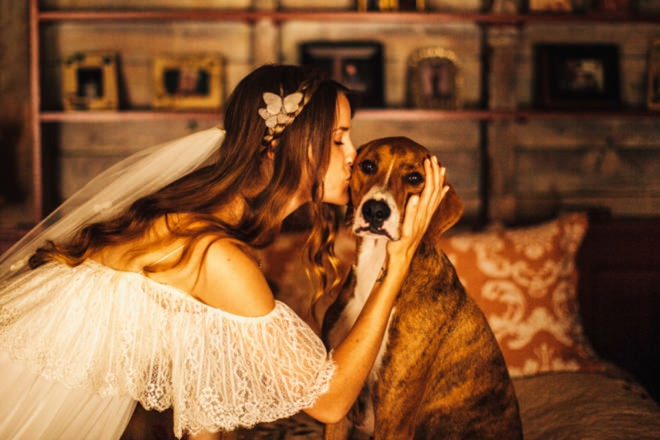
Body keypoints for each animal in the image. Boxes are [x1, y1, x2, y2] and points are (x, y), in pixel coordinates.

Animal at [322, 138, 524, 440]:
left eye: (415, 178)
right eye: (367, 166)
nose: (375, 210)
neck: (377, 267)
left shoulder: (394, 415)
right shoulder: (338, 407)